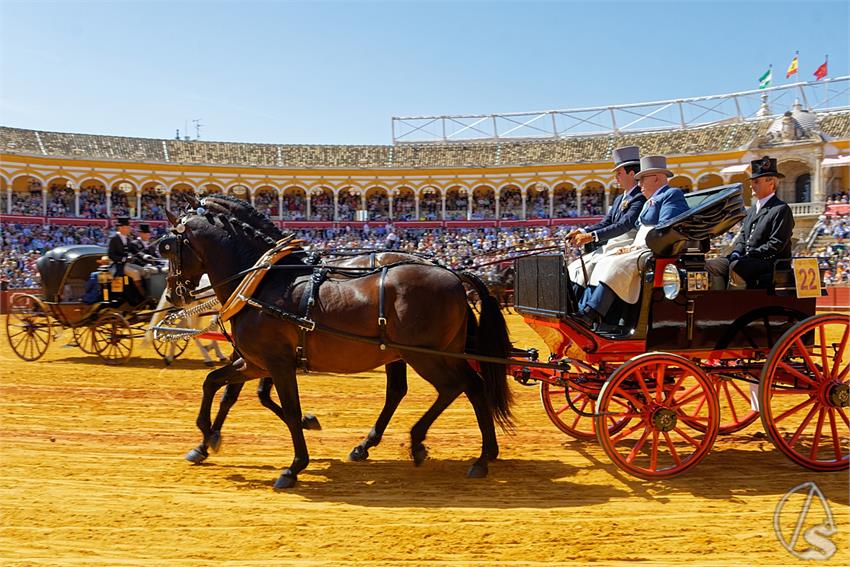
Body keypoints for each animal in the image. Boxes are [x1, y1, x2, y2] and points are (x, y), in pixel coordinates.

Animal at [162, 197, 512, 490]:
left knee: (454, 387)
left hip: (424, 355)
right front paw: (204, 441)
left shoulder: (277, 363)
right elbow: (216, 384)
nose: (174, 293)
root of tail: (453, 272)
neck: (262, 283)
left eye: (167, 247)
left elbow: (288, 409)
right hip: (435, 352)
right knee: (468, 387)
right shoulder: (255, 361)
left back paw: (435, 446)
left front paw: (294, 466)